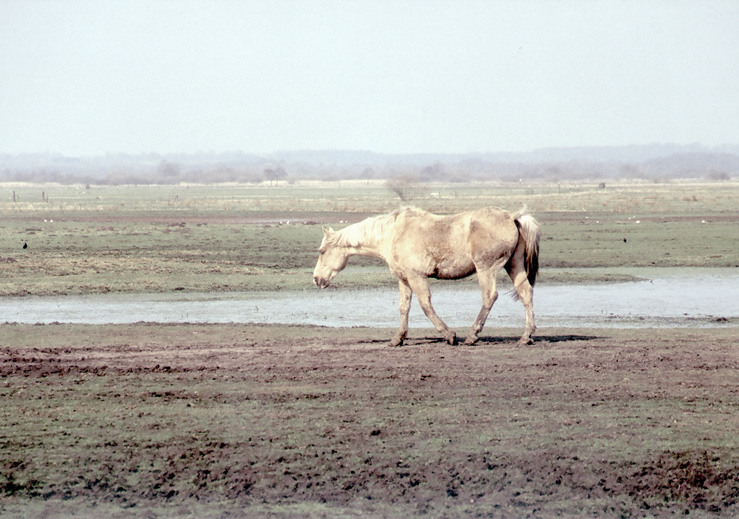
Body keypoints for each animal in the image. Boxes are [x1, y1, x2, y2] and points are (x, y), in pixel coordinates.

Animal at [313, 206, 541, 347]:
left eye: (322, 251)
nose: (316, 279)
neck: (394, 234)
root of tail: (512, 217)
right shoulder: (404, 279)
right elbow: (404, 307)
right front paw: (397, 339)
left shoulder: (417, 278)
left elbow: (425, 305)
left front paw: (450, 335)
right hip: (514, 266)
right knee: (526, 294)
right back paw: (526, 337)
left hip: (486, 269)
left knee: (489, 296)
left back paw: (472, 335)